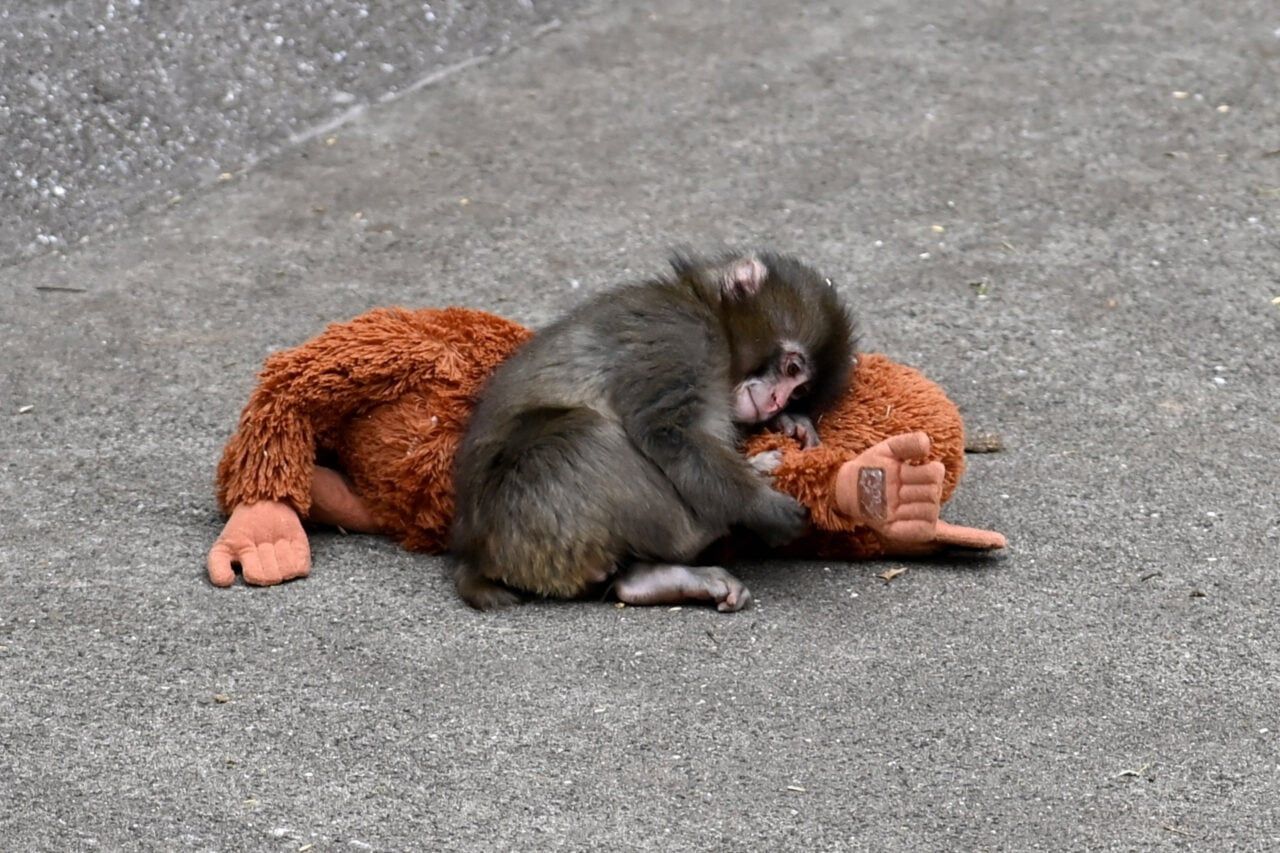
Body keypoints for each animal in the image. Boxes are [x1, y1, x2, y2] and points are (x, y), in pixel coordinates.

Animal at [449, 251, 856, 612]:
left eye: (799, 391)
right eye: (791, 369)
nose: (776, 402)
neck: (707, 311)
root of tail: (476, 556)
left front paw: (790, 424)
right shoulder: (681, 336)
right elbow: (669, 432)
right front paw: (760, 505)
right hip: (527, 516)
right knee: (584, 434)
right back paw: (706, 528)